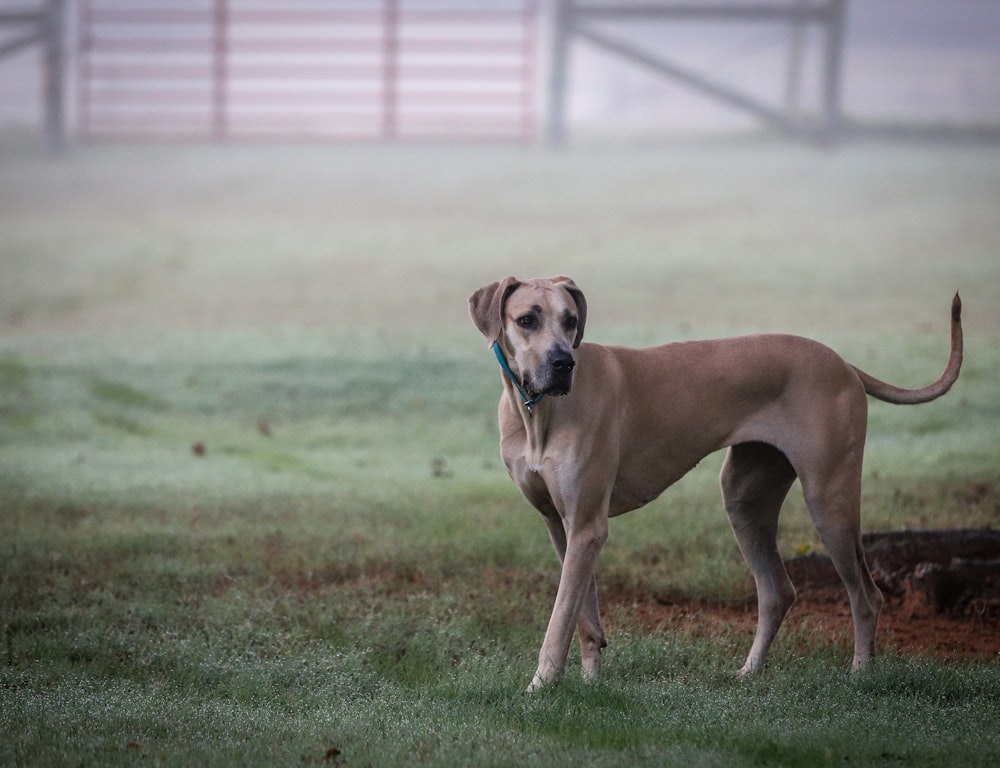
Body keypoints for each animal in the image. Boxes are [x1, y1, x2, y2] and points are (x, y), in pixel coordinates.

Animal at [468, 278, 960, 688]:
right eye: (527, 319)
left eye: (570, 319)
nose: (563, 362)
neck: (536, 412)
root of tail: (844, 364)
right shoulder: (562, 525)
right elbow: (582, 614)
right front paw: (589, 682)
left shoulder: (588, 525)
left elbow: (559, 620)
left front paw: (540, 687)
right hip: (744, 497)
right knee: (777, 591)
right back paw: (750, 671)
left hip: (829, 500)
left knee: (867, 595)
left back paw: (860, 674)